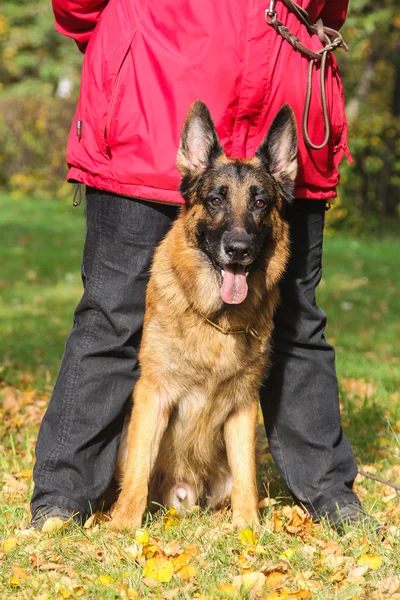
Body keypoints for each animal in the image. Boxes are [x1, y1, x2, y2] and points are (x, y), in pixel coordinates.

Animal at [110, 101, 296, 532]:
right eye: (215, 200)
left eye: (260, 203)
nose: (239, 250)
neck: (218, 320)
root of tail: (185, 493)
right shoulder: (153, 394)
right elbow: (139, 471)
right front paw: (123, 526)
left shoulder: (243, 407)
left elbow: (246, 478)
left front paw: (249, 528)